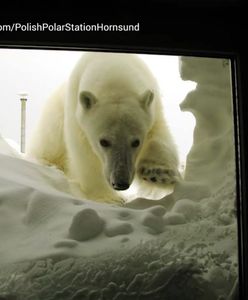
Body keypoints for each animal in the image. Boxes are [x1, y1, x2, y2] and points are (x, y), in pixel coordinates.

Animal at [27, 53, 179, 204]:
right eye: (103, 142)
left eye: (136, 142)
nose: (120, 183)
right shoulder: (76, 113)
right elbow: (85, 154)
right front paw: (109, 198)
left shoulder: (154, 107)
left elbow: (158, 135)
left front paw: (157, 173)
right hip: (55, 115)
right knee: (50, 142)